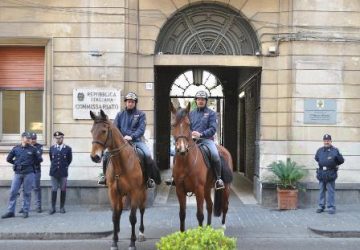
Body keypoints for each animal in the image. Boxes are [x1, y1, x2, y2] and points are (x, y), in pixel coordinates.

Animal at [90, 110, 146, 250]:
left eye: (104, 131)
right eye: (92, 131)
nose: (94, 157)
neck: (121, 163)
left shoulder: (135, 191)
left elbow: (132, 217)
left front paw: (132, 243)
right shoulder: (113, 192)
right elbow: (115, 216)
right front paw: (114, 242)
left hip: (143, 191)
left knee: (142, 210)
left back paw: (141, 233)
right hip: (122, 194)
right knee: (120, 210)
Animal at [171, 102, 235, 232]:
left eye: (188, 124)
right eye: (173, 124)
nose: (182, 149)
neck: (185, 163)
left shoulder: (198, 189)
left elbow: (200, 215)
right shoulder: (180, 189)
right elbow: (182, 214)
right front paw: (182, 234)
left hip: (225, 187)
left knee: (225, 206)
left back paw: (222, 227)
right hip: (207, 189)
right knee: (210, 206)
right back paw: (208, 228)